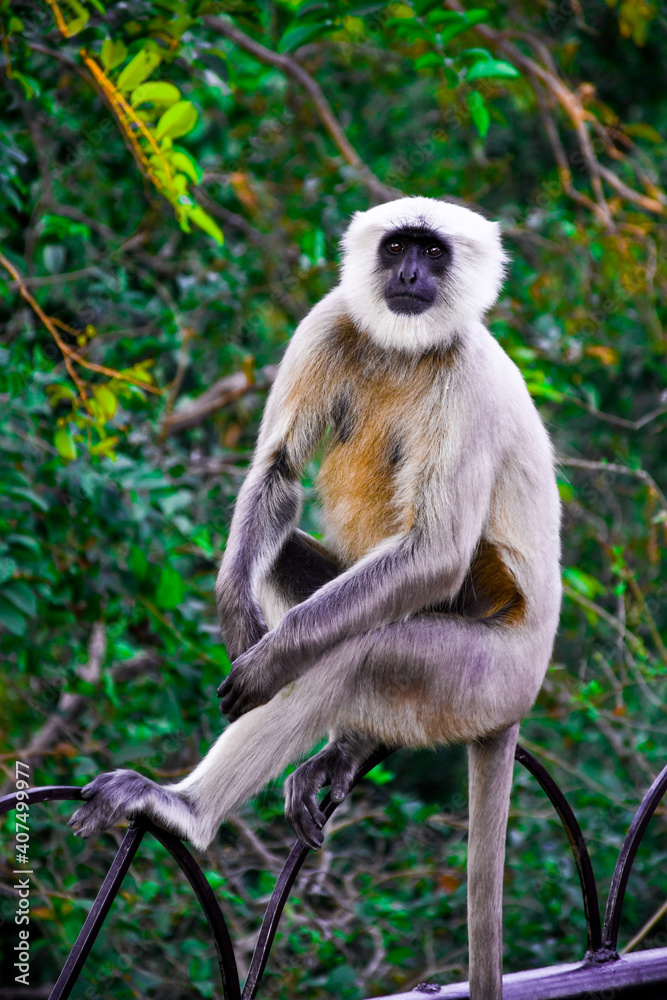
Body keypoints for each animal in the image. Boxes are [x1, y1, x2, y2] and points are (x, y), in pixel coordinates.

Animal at [69, 196, 561, 1000]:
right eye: (397, 247)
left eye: (433, 250)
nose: (411, 274)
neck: (408, 349)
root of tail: (520, 696)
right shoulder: (331, 319)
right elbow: (277, 469)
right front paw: (237, 617)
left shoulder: (467, 379)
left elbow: (435, 553)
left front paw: (272, 662)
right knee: (287, 560)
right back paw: (348, 746)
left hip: (482, 676)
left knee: (359, 651)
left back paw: (186, 810)